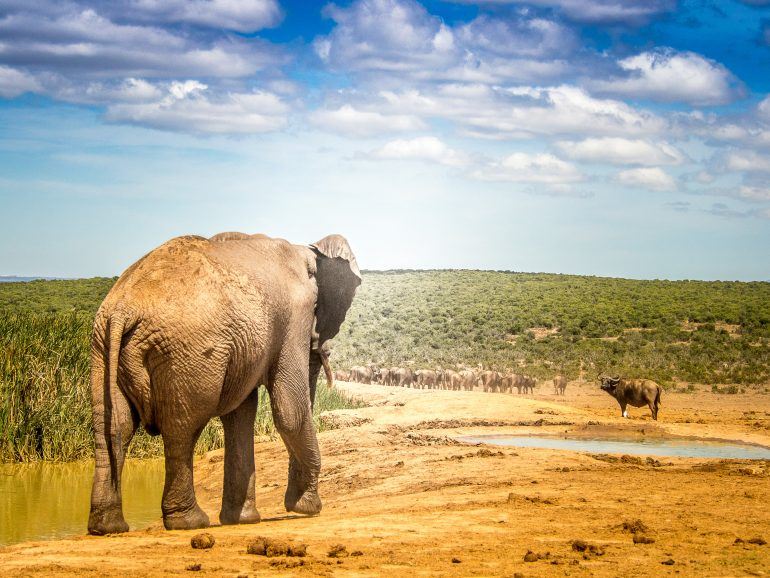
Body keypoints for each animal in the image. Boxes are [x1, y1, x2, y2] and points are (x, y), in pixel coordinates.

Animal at [88, 232, 360, 532]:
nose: (323, 351)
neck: (308, 250)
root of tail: (122, 309)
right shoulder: (294, 317)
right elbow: (289, 410)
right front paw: (308, 508)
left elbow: (241, 413)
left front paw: (243, 520)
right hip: (186, 352)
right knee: (182, 428)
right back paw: (190, 522)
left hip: (101, 347)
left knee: (113, 428)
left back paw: (107, 527)